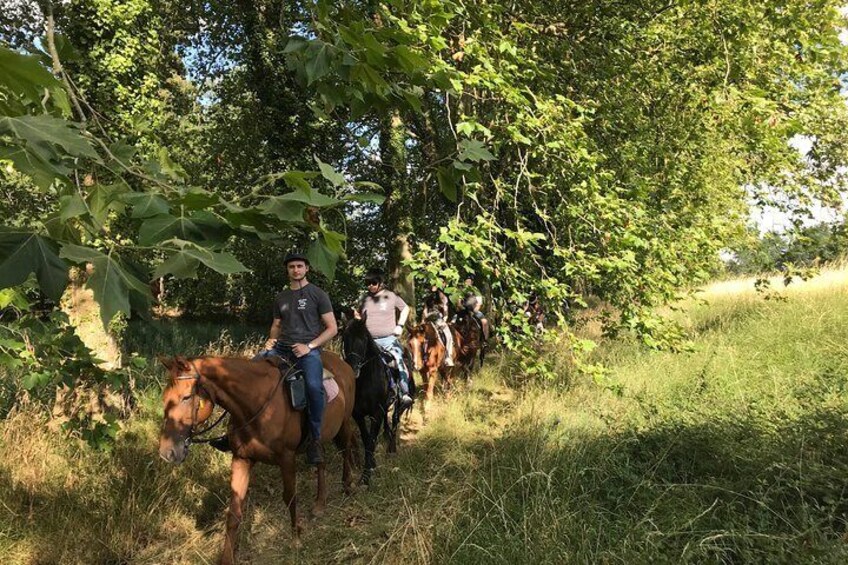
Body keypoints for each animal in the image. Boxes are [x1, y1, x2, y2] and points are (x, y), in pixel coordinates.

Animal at [158, 354, 354, 560]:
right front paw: (227, 558)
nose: (167, 452)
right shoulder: (241, 459)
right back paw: (320, 503)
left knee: (346, 449)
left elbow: (290, 497)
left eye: (186, 397)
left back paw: (348, 484)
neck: (256, 405)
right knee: (321, 461)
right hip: (318, 438)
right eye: (165, 398)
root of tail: (342, 362)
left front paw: (296, 539)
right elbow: (234, 512)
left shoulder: (287, 458)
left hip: (344, 423)